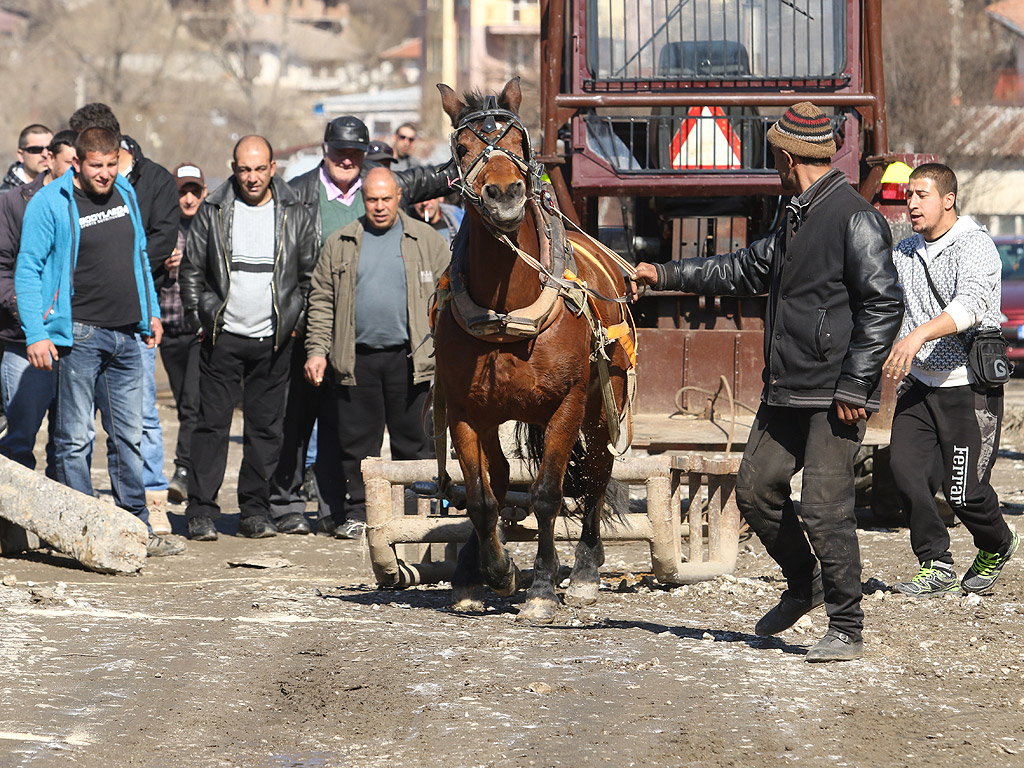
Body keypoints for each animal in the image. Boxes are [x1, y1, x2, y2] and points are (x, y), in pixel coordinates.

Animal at [430, 75, 630, 622]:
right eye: (462, 146)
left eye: (519, 143)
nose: (504, 194)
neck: (508, 308)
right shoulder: (465, 409)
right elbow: (481, 497)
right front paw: (494, 571)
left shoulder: (568, 403)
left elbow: (546, 495)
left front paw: (541, 587)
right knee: (497, 481)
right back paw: (472, 569)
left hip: (602, 406)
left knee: (597, 472)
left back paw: (584, 571)